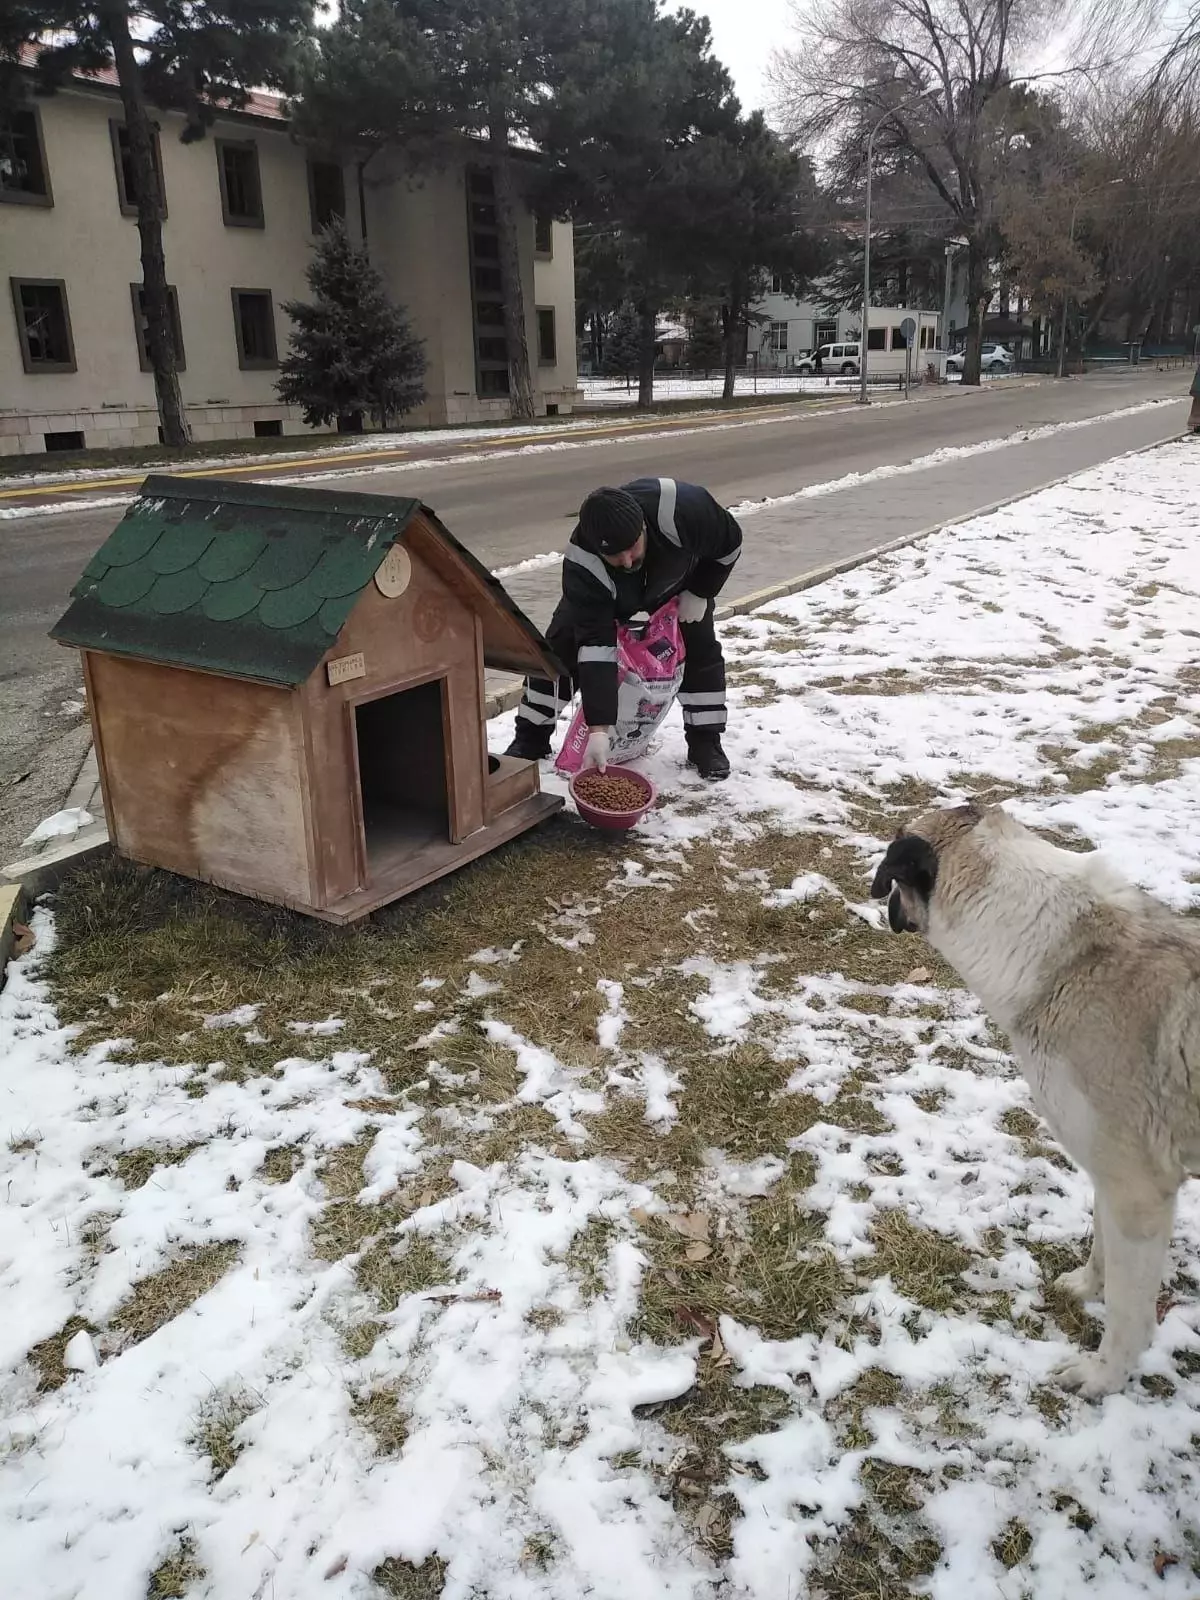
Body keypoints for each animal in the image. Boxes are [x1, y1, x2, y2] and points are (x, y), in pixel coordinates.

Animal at [876, 806, 1200, 1395]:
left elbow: (1128, 1311)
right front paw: (1085, 1288)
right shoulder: (1108, 1173)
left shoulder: (1139, 1190)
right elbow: (1102, 1246)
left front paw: (1102, 1378)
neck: (1061, 961)